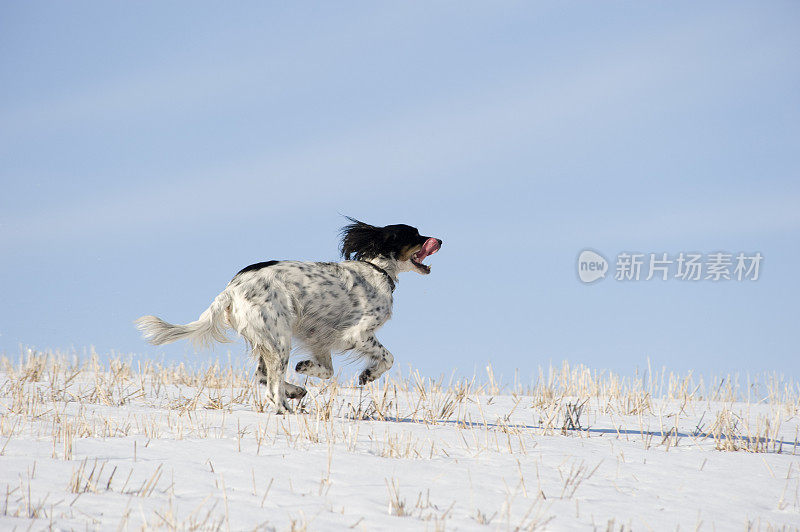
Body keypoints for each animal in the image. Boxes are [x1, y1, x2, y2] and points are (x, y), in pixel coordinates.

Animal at [134, 218, 440, 414]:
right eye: (415, 234)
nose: (439, 239)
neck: (378, 270)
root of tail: (231, 290)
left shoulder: (320, 339)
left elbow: (326, 371)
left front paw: (305, 368)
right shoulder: (359, 333)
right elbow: (388, 357)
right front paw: (368, 375)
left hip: (268, 339)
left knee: (263, 376)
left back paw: (294, 391)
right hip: (279, 339)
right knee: (271, 388)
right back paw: (287, 410)